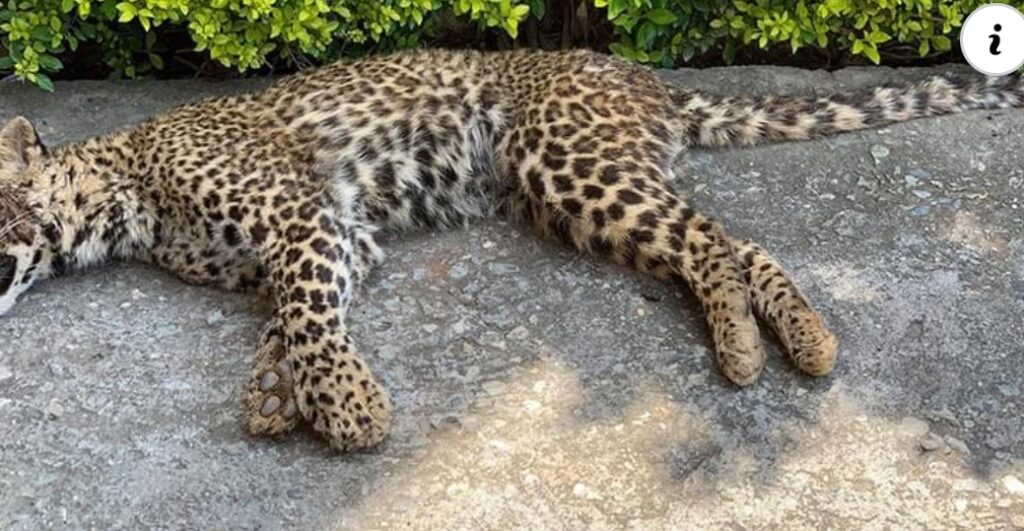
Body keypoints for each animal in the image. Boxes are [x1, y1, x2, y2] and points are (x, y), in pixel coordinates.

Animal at [0, 48, 1020, 452]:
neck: (113, 198)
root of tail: (642, 77)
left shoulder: (306, 218)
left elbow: (309, 315)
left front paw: (350, 410)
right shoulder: (338, 236)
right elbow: (297, 316)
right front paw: (274, 391)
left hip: (567, 163)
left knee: (713, 240)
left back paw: (749, 346)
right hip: (580, 195)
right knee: (729, 240)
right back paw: (800, 339)